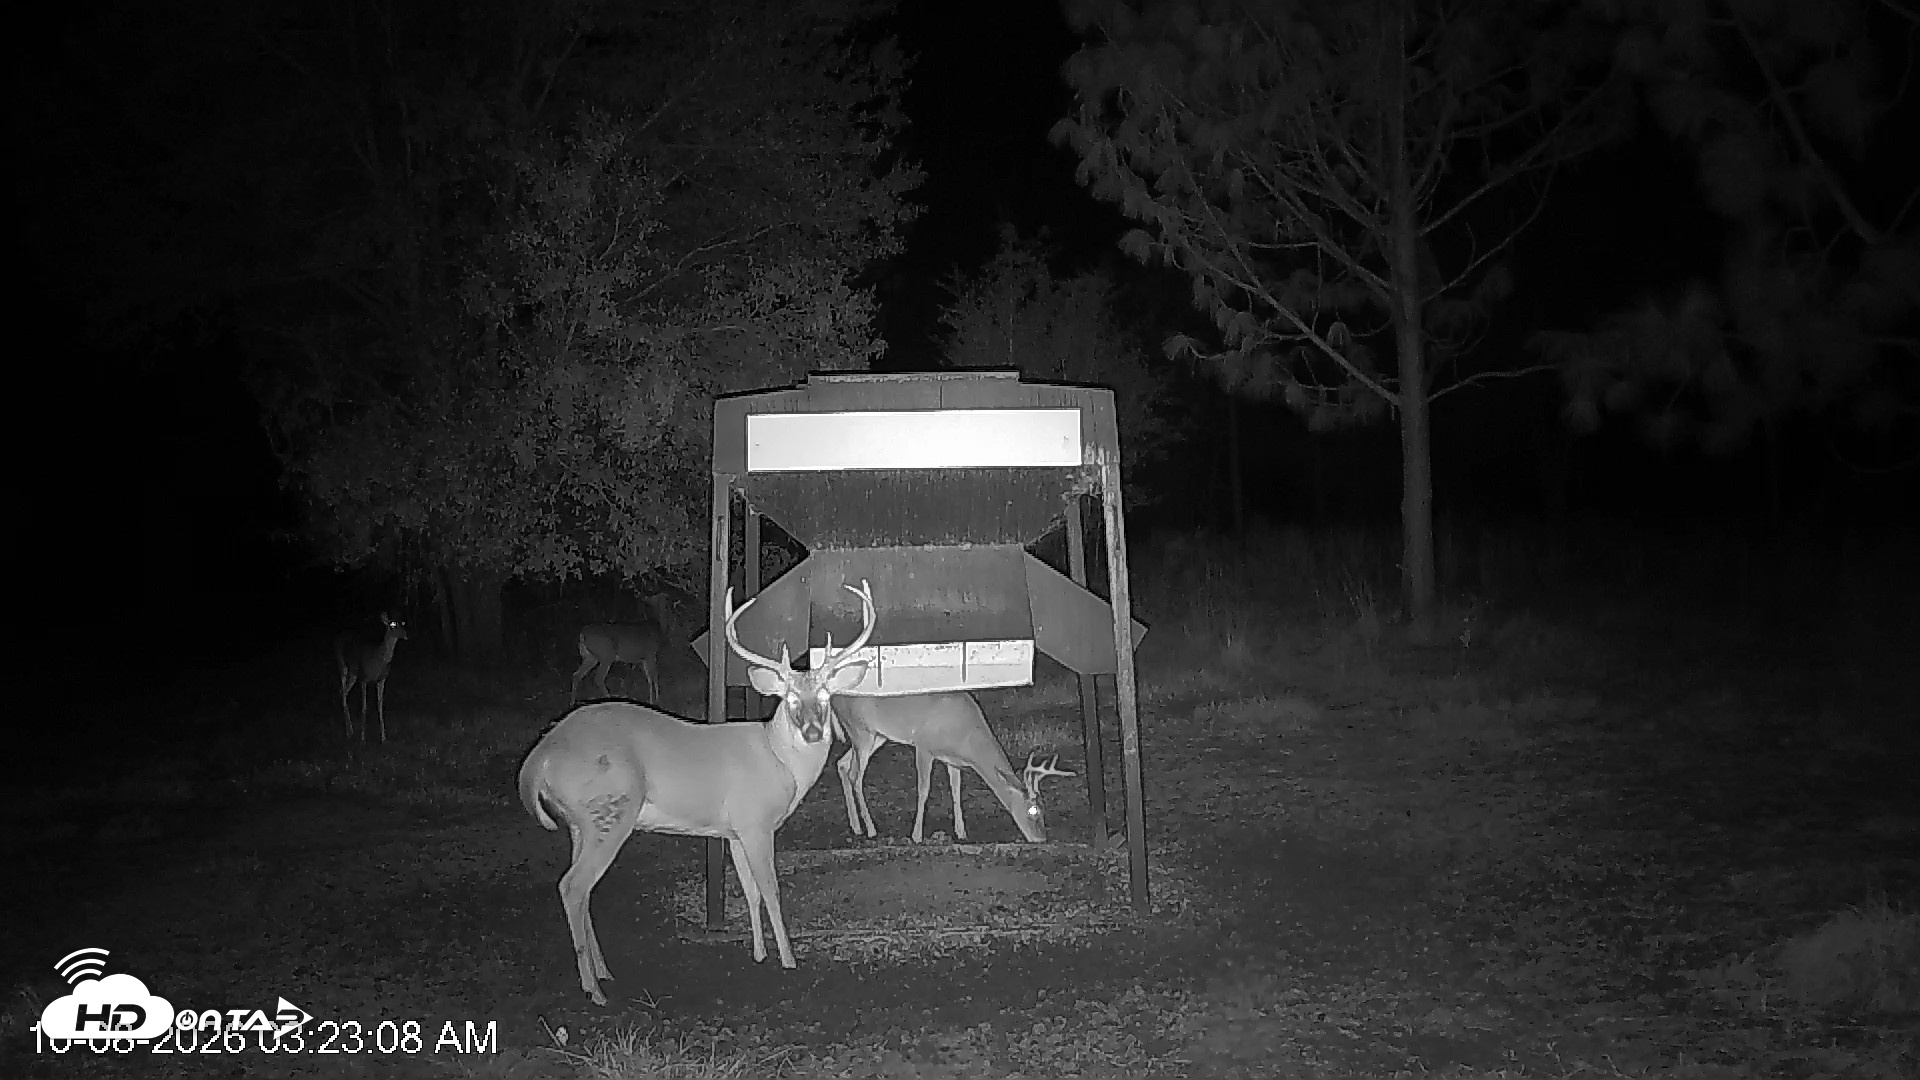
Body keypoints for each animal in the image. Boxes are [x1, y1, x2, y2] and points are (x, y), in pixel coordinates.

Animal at [333, 612, 408, 743]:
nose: (405, 634)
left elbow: (380, 705)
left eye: (402, 623)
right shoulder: (364, 678)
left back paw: (351, 731)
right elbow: (364, 707)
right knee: (343, 691)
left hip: (353, 673)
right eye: (392, 625)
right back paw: (349, 733)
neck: (378, 660)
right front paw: (363, 738)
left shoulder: (382, 680)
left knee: (343, 691)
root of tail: (339, 635)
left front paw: (384, 738)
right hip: (341, 663)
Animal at [519, 580, 878, 1005]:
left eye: (824, 696)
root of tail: (537, 760)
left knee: (579, 886)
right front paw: (789, 961)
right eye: (789, 697)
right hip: (609, 812)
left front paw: (758, 955)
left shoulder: (735, 830)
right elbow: (771, 890)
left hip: (580, 822)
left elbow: (751, 891)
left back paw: (604, 972)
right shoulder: (756, 821)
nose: (812, 731)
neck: (778, 759)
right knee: (573, 886)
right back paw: (594, 989)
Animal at [832, 691, 1076, 844]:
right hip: (860, 732)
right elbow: (924, 790)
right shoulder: (924, 745)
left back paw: (856, 827)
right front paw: (917, 835)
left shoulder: (952, 760)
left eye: (1044, 808)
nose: (1041, 839)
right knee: (855, 775)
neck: (967, 737)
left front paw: (961, 832)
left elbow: (956, 791)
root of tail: (834, 698)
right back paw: (871, 830)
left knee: (841, 764)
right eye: (1033, 810)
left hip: (876, 736)